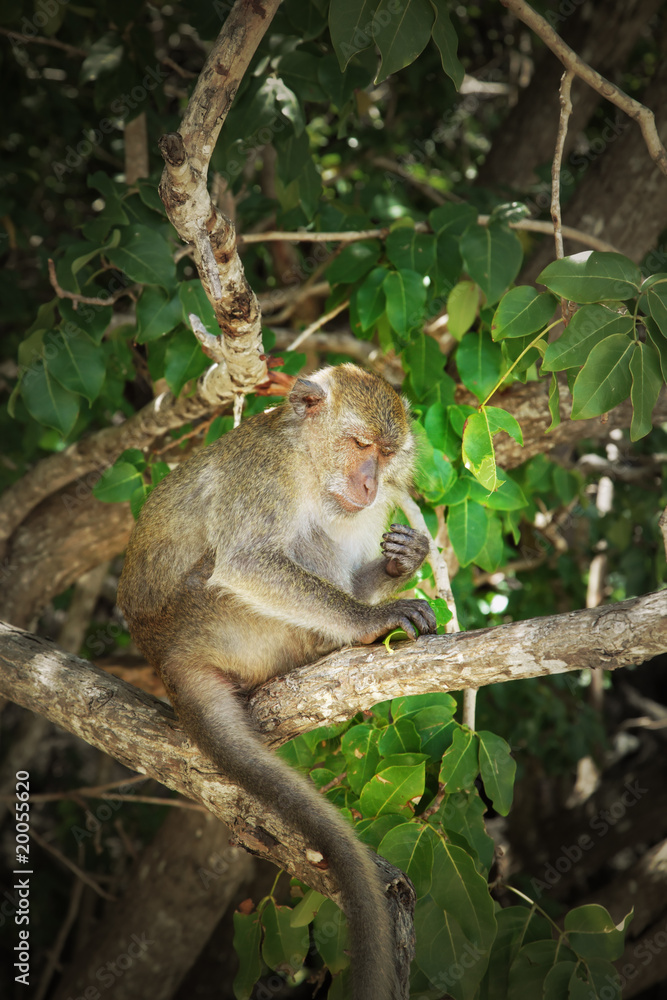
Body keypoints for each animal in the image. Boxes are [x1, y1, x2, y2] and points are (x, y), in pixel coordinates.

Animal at [117, 363, 437, 1000]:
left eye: (386, 454)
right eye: (359, 444)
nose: (370, 483)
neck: (306, 460)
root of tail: (165, 657)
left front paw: (402, 562)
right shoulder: (262, 478)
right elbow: (246, 562)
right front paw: (368, 619)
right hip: (223, 623)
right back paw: (334, 643)